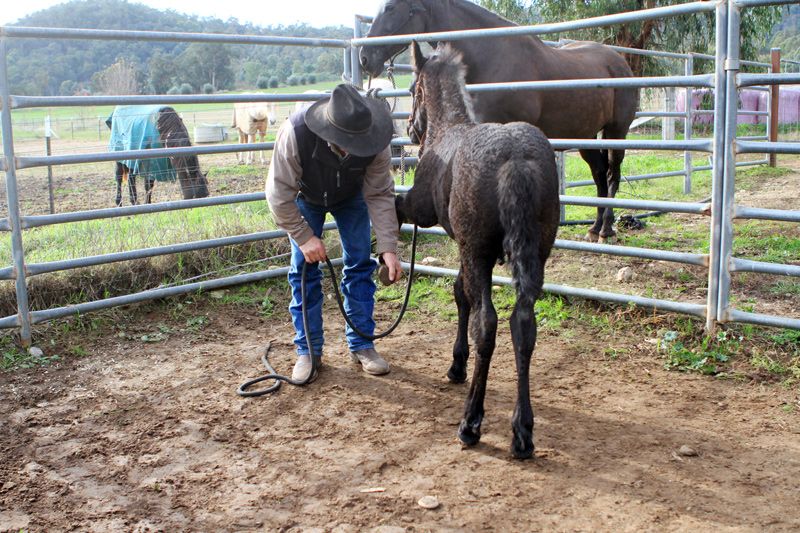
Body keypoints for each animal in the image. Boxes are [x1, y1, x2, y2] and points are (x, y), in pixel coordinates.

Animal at [360, 0, 638, 243]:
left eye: (390, 7)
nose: (364, 57)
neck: (490, 56)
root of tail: (619, 62)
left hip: (616, 131)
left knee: (612, 174)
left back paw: (607, 230)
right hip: (586, 136)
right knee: (599, 174)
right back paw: (595, 228)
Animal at [396, 42, 559, 459]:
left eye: (412, 89)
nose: (410, 129)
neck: (446, 131)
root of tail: (515, 158)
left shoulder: (435, 224)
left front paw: (457, 366)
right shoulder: (464, 248)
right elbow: (459, 292)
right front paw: (457, 363)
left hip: (480, 254)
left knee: (487, 324)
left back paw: (470, 423)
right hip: (535, 254)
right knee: (523, 326)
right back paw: (522, 431)